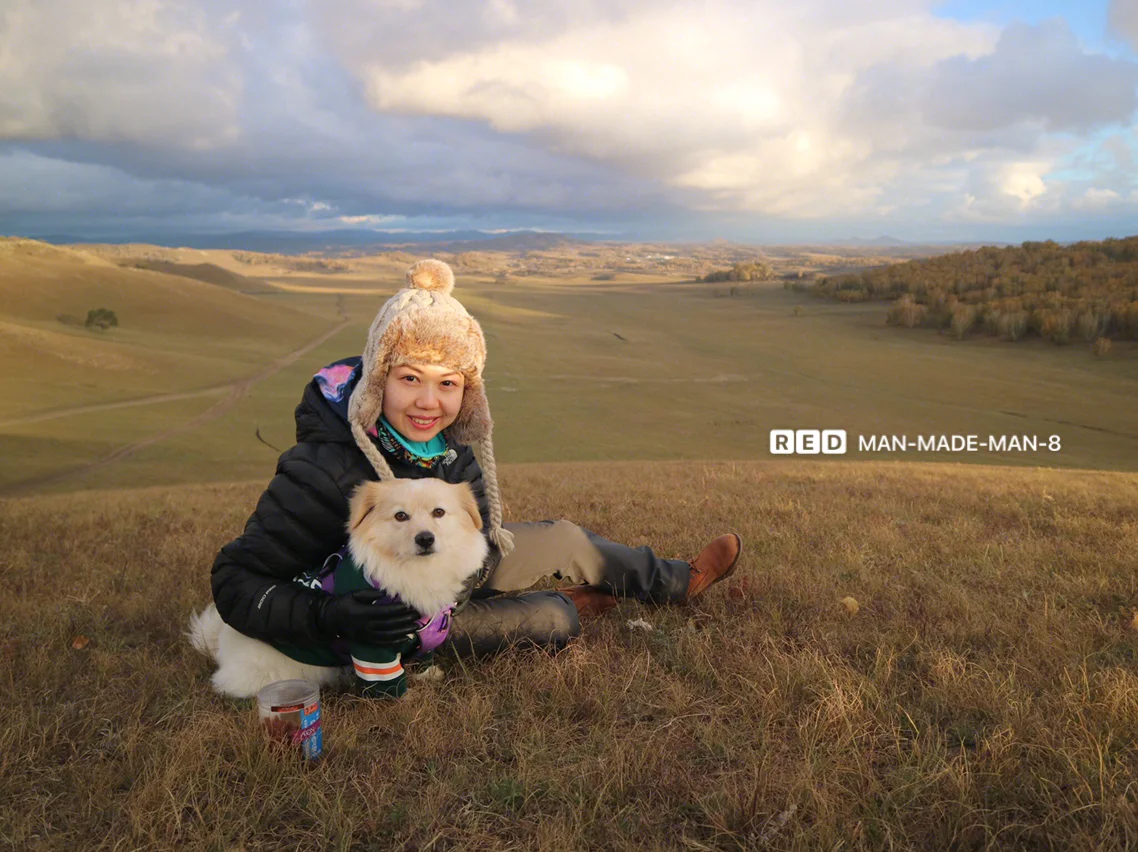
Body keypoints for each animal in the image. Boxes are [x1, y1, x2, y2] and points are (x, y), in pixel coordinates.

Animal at [187, 477, 489, 696]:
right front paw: (405, 698)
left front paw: (427, 675)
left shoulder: (426, 636)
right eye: (400, 516)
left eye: (439, 512)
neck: (417, 569)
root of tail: (220, 645)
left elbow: (424, 656)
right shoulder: (373, 645)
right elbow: (388, 682)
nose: (425, 539)